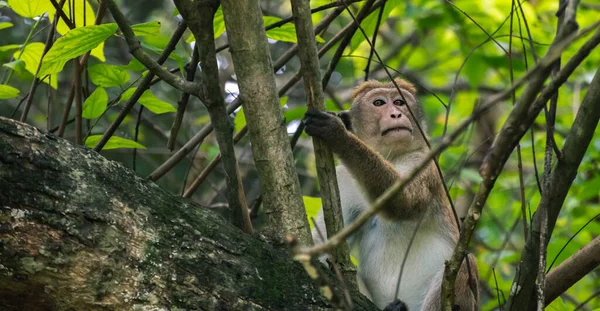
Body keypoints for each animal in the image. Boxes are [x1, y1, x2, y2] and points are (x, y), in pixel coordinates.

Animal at [304, 79, 478, 310]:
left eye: (399, 102)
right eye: (379, 103)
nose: (396, 113)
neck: (391, 157)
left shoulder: (425, 163)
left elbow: (402, 202)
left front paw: (338, 135)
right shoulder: (343, 181)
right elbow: (323, 249)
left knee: (467, 265)